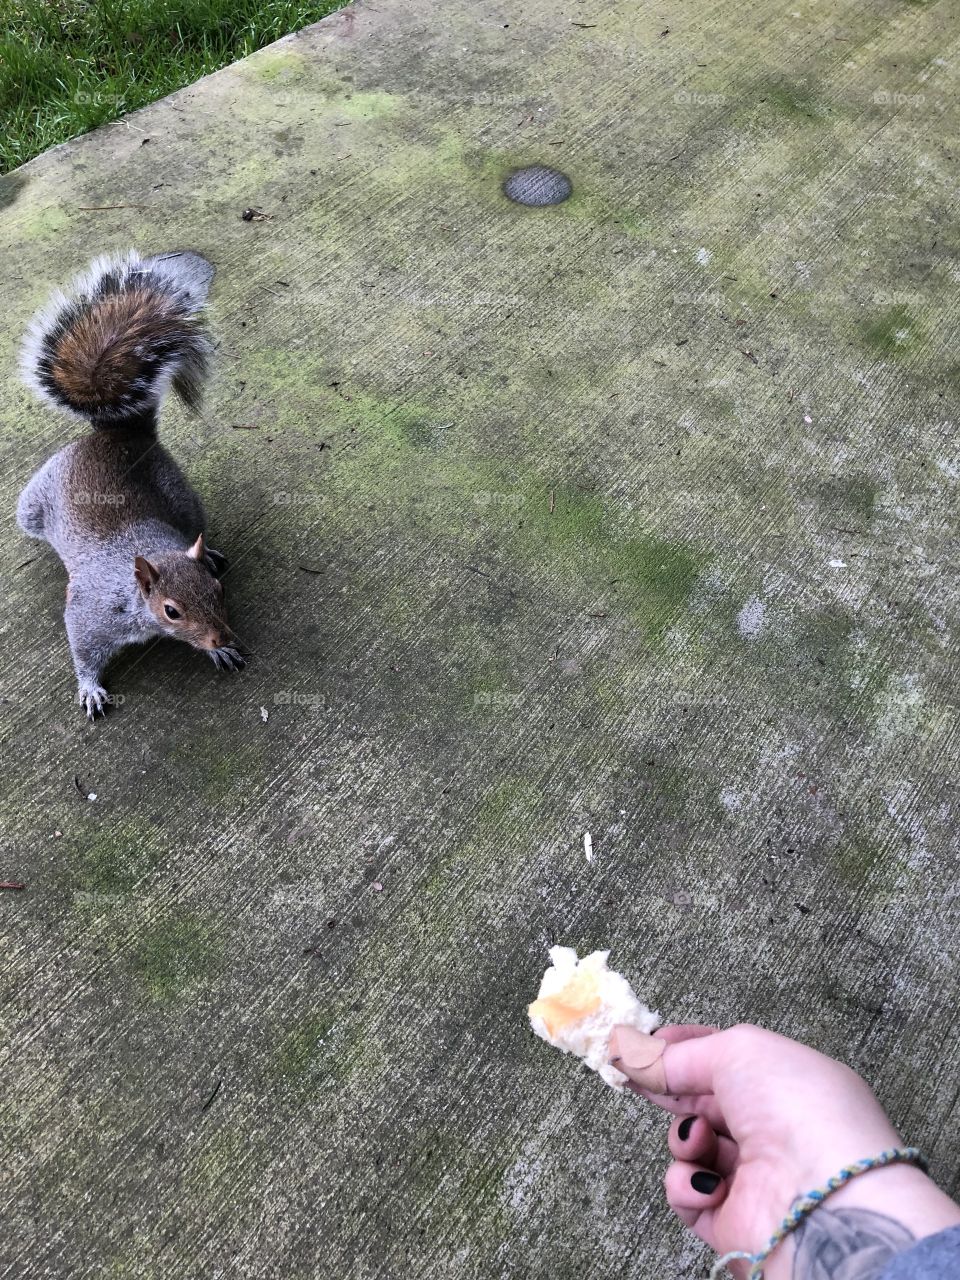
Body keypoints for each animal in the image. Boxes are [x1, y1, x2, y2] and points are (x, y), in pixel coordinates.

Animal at [16, 249, 244, 719]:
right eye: (171, 611)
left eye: (218, 590)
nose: (222, 636)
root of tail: (119, 435)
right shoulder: (90, 613)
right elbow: (83, 649)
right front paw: (89, 688)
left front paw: (219, 651)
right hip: (30, 508)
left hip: (183, 496)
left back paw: (210, 548)